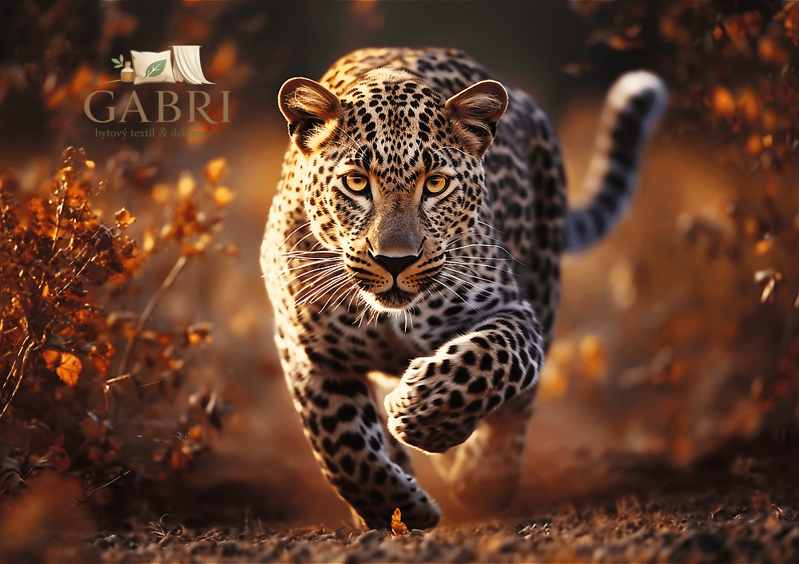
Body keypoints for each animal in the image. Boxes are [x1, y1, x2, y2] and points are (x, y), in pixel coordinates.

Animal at [260, 47, 667, 530]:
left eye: (435, 184)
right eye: (356, 182)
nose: (395, 260)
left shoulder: (513, 310)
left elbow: (490, 360)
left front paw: (422, 413)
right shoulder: (306, 351)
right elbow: (342, 445)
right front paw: (398, 508)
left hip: (545, 280)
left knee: (517, 408)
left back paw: (484, 478)